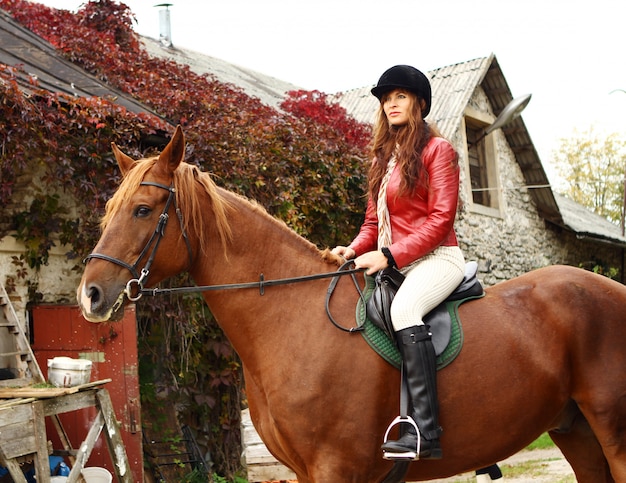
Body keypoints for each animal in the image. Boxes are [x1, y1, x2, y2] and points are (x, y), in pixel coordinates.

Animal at [78, 127, 624, 483]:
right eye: (107, 210)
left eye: (143, 210)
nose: (91, 295)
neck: (290, 317)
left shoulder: (334, 468)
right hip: (575, 431)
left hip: (613, 432)